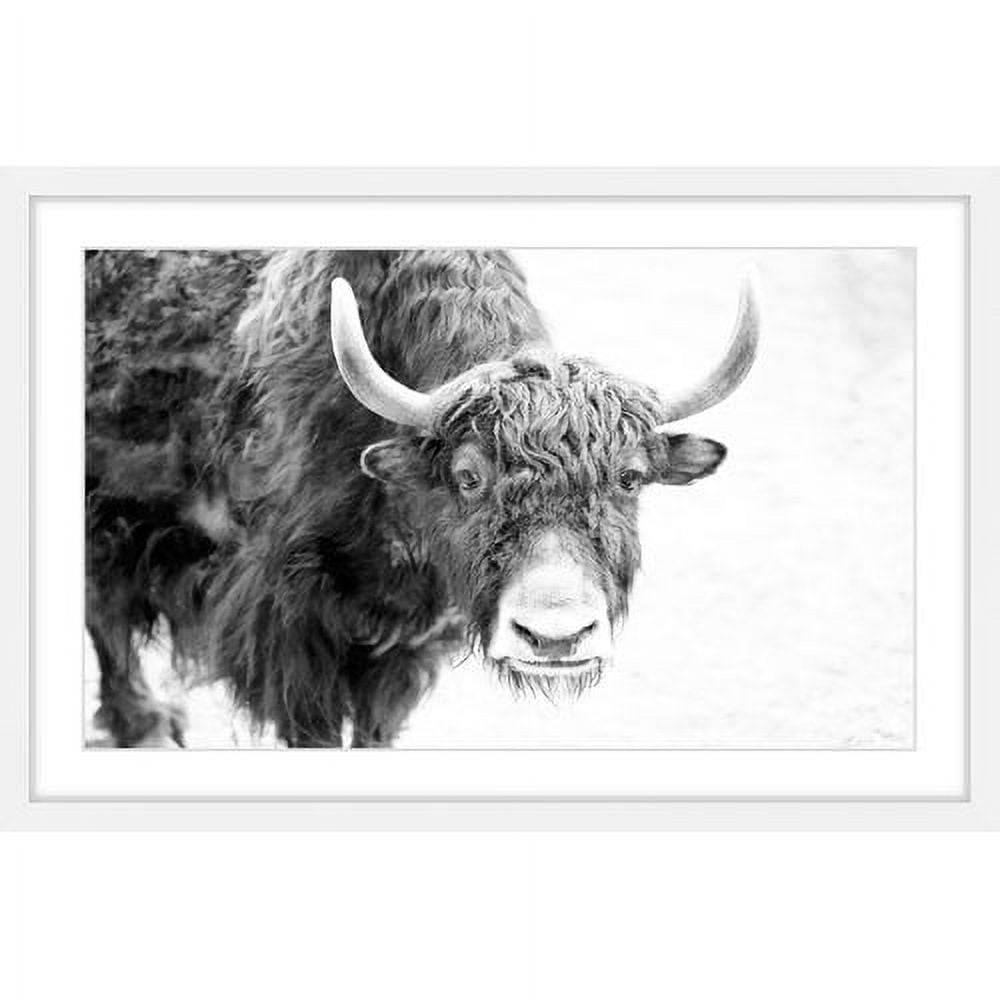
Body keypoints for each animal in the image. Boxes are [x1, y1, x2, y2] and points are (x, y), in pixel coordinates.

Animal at [85, 250, 758, 747]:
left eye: (629, 478)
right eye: (468, 476)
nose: (556, 638)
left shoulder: (405, 643)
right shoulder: (294, 633)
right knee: (105, 613)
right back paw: (145, 725)